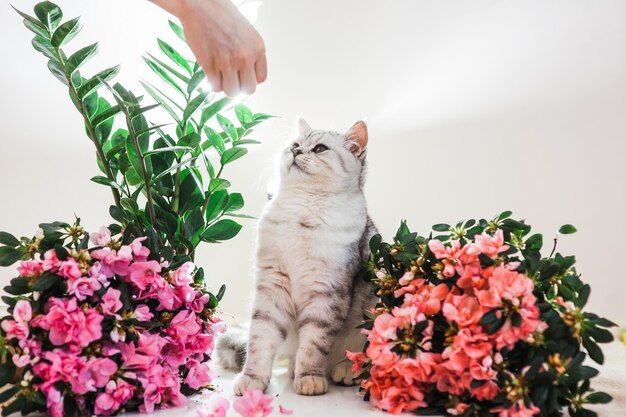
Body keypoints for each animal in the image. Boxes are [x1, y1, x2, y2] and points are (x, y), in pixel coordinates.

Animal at [217, 118, 376, 396]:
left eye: (320, 148)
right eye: (295, 144)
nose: (296, 151)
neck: (303, 211)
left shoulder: (325, 293)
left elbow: (313, 345)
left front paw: (310, 378)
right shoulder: (272, 288)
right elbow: (260, 340)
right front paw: (253, 379)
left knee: (360, 357)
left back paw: (345, 370)